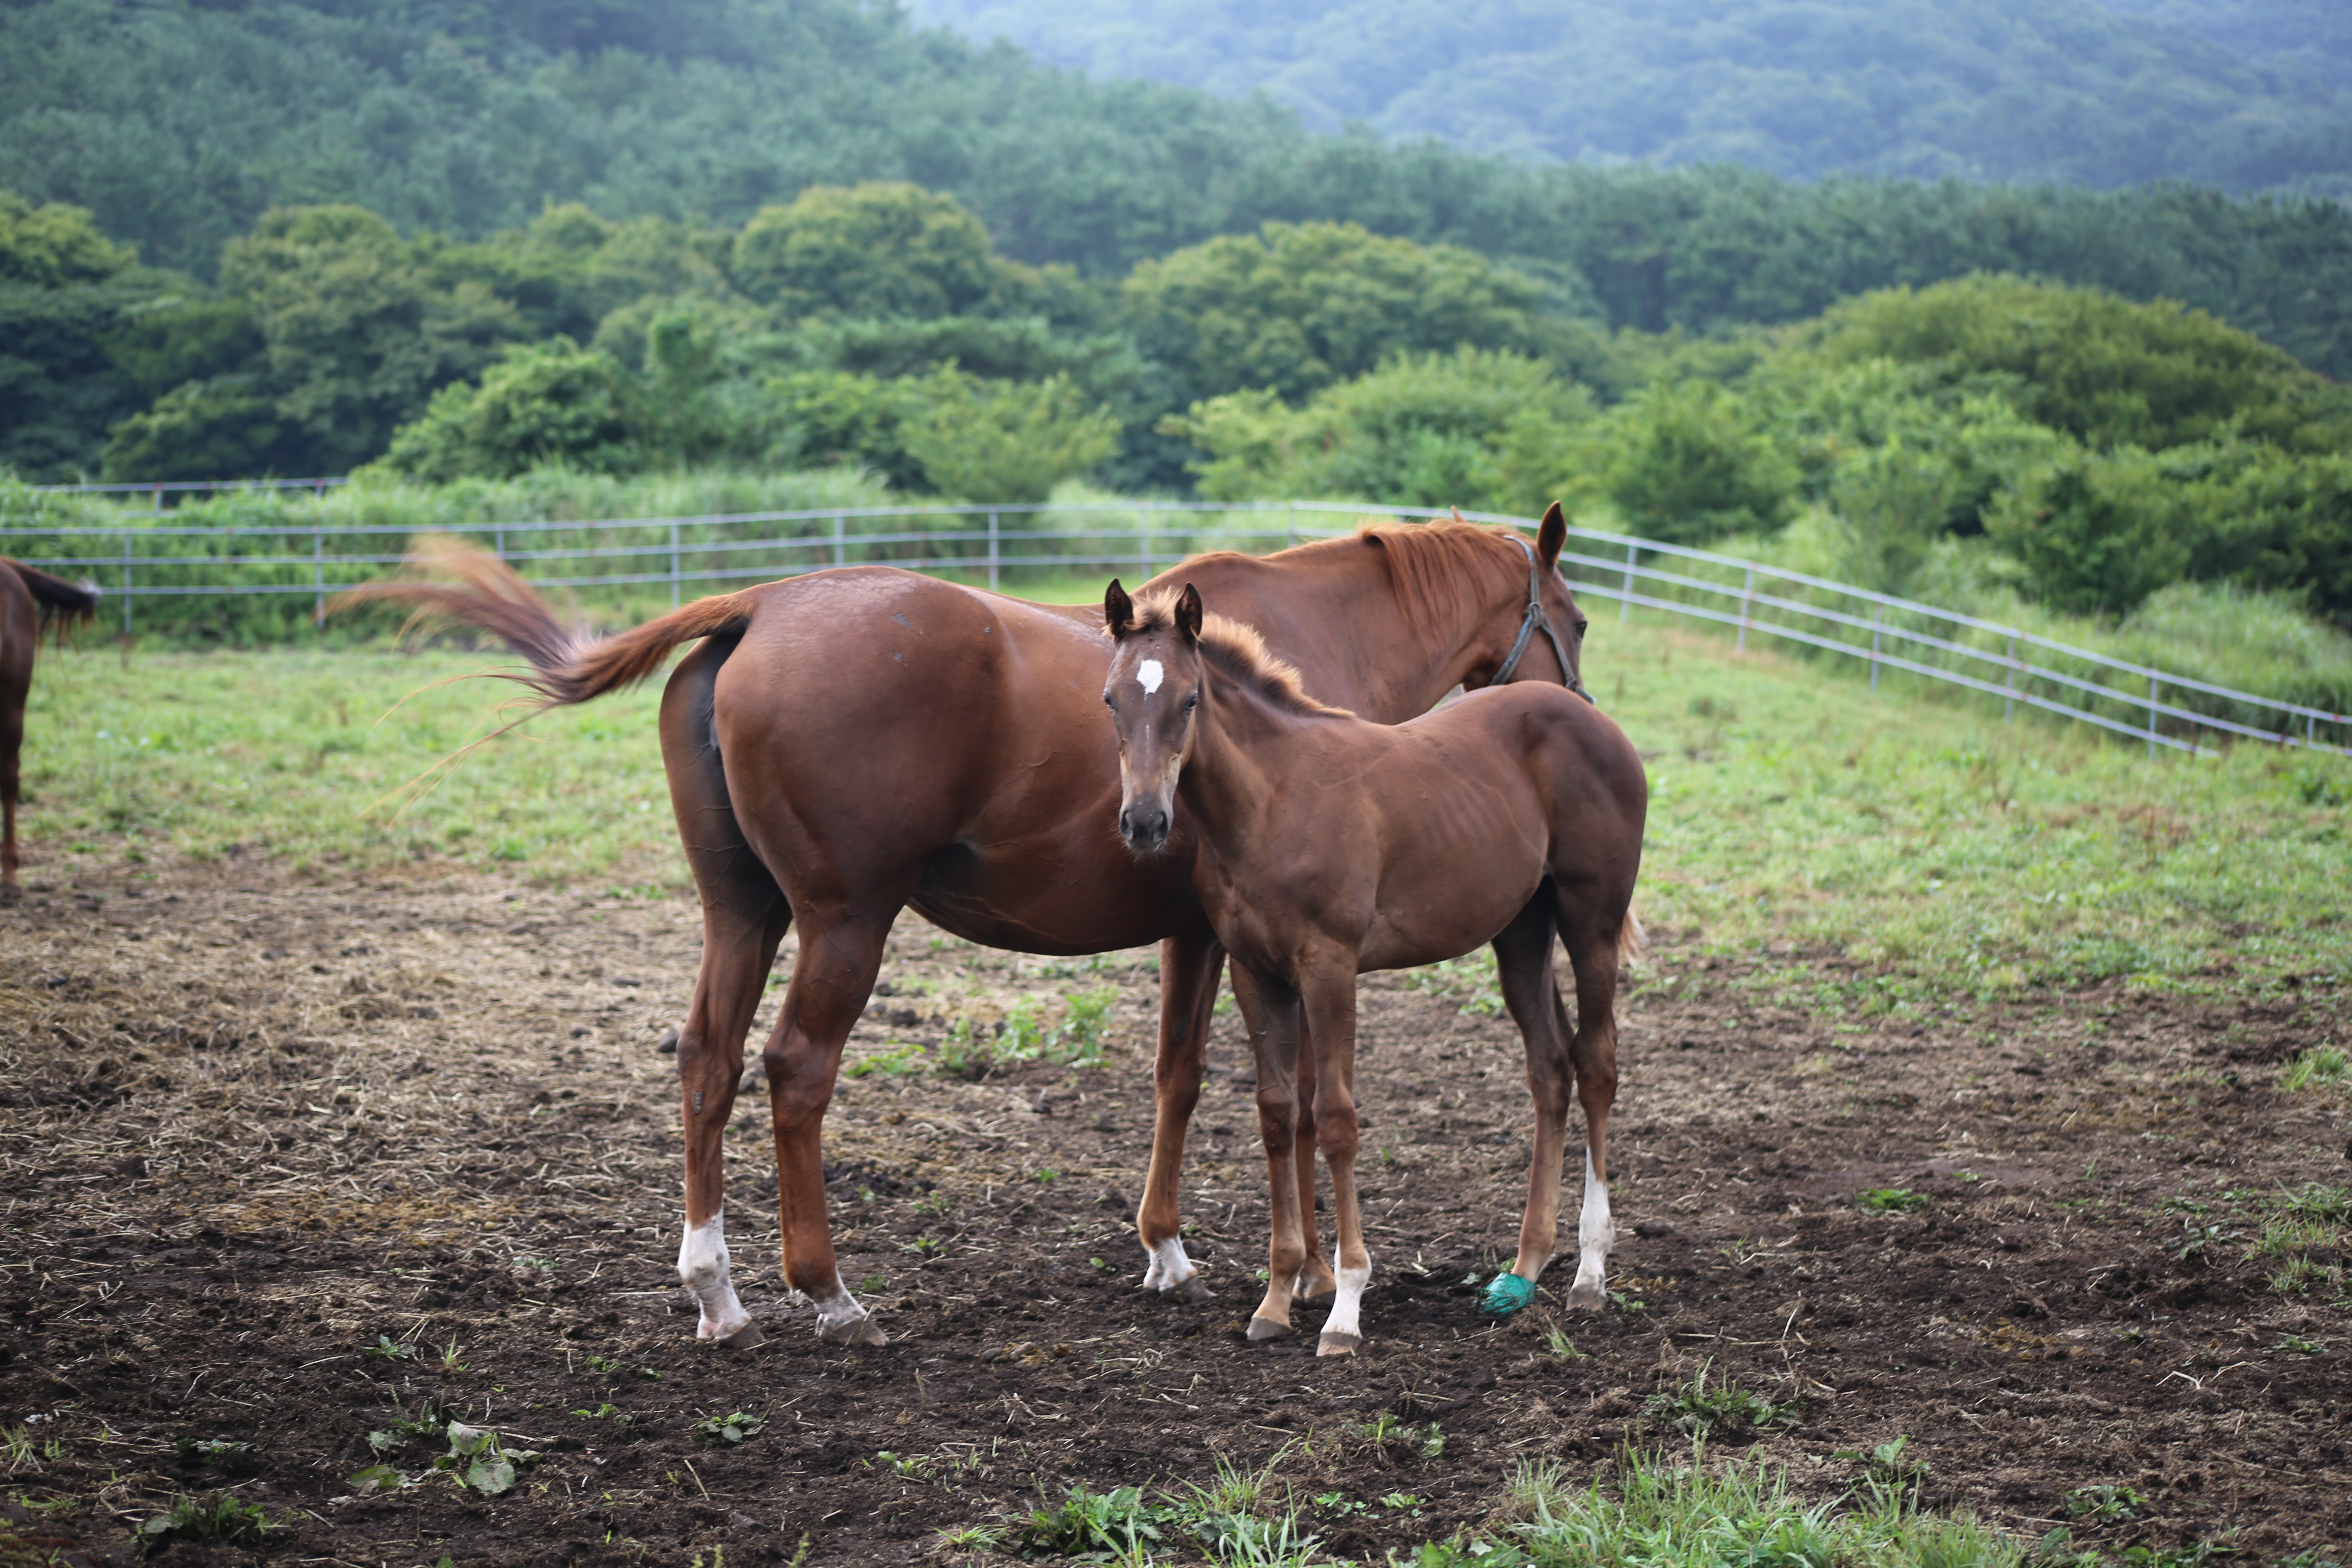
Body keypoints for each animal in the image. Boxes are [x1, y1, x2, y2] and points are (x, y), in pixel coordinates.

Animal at [348, 512, 1590, 1354]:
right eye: (1573, 620)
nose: (1585, 712)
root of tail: (759, 606)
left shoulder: (1199, 935)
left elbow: (1175, 1075)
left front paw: (1169, 1248)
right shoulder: (1233, 940)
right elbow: (1232, 1088)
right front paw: (1245, 1266)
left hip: (740, 913)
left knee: (707, 1061)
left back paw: (719, 1290)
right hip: (845, 922)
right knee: (794, 1069)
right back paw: (828, 1292)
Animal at [1105, 583, 1646, 1354]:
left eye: (1189, 700)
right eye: (1111, 700)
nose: (1145, 822)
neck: (1272, 800)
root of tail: (1595, 720)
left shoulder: (1330, 966)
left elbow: (1334, 1119)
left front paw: (1345, 1306)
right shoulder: (1255, 972)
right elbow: (1277, 1115)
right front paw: (1276, 1299)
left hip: (1590, 919)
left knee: (1597, 1063)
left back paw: (1590, 1273)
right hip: (1520, 932)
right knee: (1551, 1065)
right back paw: (1522, 1271)